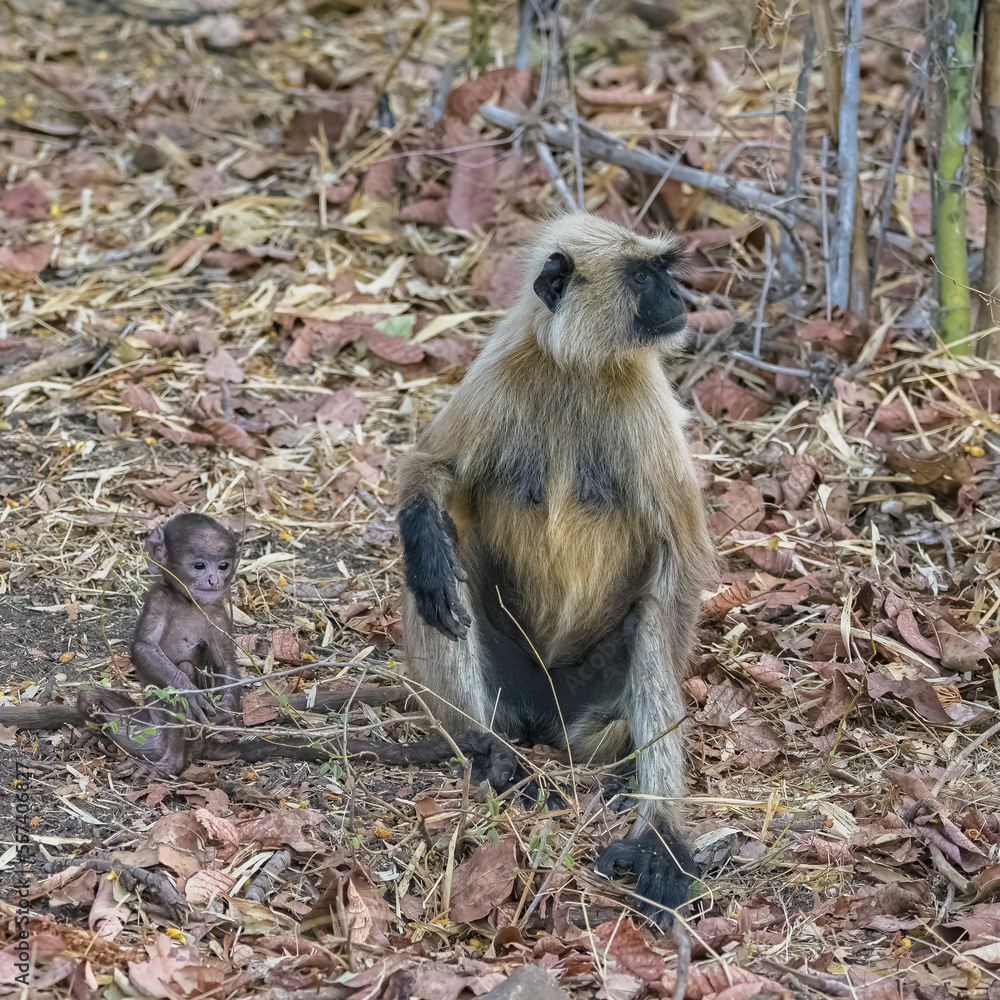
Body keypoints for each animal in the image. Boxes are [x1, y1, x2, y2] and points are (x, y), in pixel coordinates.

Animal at [396, 214, 715, 926]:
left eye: (664, 272)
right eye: (645, 276)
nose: (682, 297)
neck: (577, 368)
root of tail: (546, 720)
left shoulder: (646, 399)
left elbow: (681, 562)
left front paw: (660, 828)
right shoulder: (502, 369)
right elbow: (430, 470)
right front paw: (428, 553)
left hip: (590, 707)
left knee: (647, 625)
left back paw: (647, 816)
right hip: (510, 685)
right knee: (442, 580)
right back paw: (494, 758)